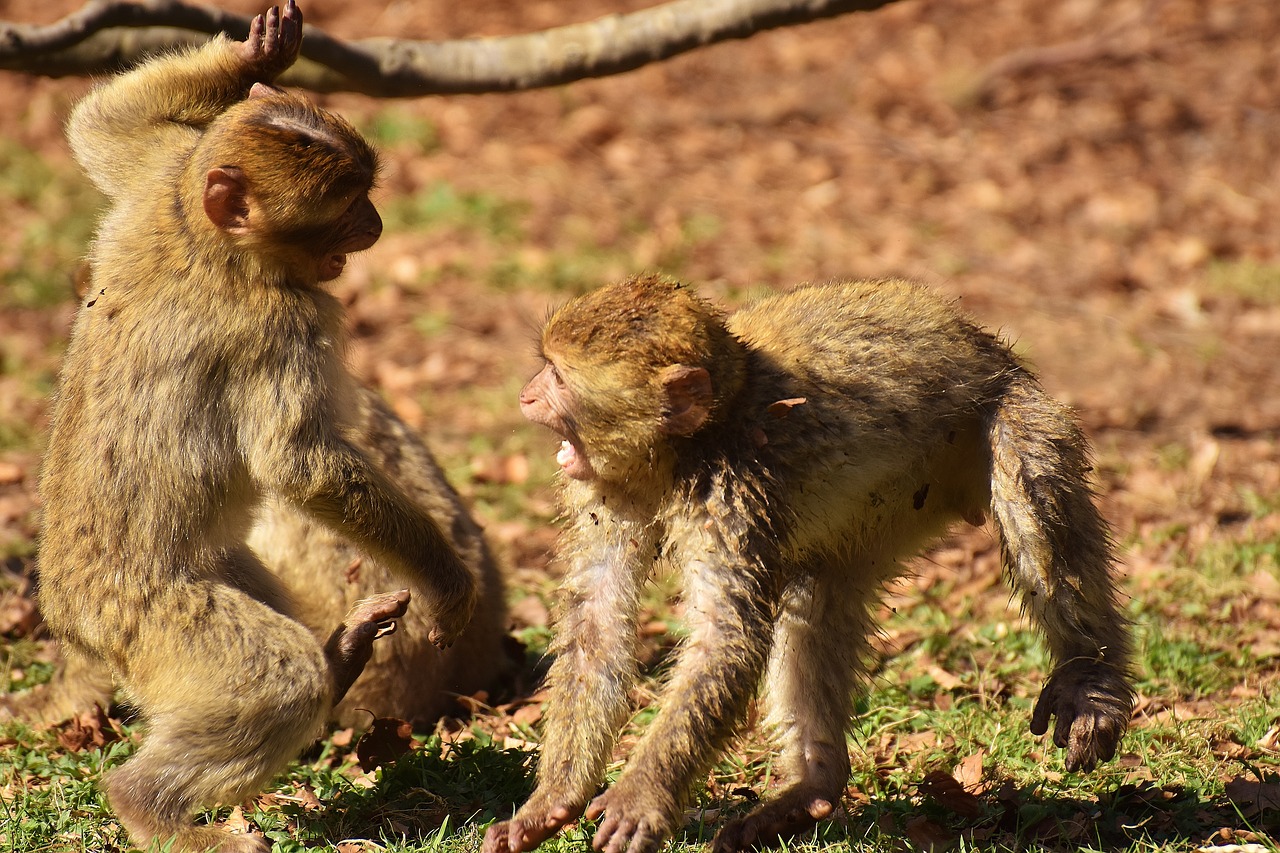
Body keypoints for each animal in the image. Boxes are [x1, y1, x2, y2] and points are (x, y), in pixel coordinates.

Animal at [35, 3, 478, 845]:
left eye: (365, 195)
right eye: (344, 209)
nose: (375, 224)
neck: (207, 240)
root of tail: (72, 614)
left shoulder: (159, 184)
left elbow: (99, 126)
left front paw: (253, 55)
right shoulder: (284, 325)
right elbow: (299, 465)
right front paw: (445, 578)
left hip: (212, 572)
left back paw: (340, 660)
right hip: (156, 619)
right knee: (279, 680)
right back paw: (149, 805)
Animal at [483, 274, 1136, 850]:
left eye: (558, 376)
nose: (526, 394)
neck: (690, 445)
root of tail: (982, 340)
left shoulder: (731, 491)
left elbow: (724, 637)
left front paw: (640, 795)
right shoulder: (608, 490)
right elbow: (597, 619)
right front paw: (552, 802)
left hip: (1017, 411)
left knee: (1035, 503)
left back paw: (1091, 680)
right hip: (883, 519)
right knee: (817, 600)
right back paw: (814, 787)